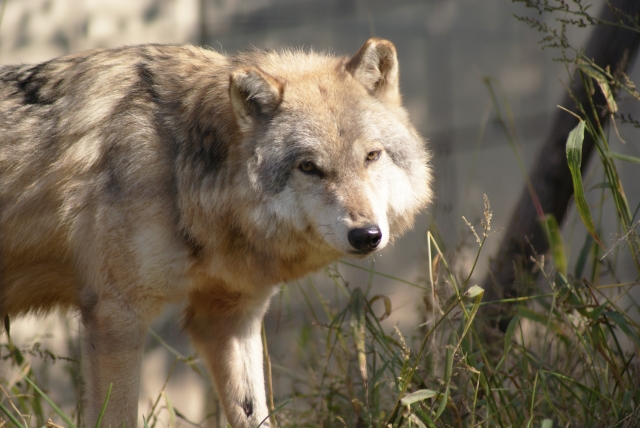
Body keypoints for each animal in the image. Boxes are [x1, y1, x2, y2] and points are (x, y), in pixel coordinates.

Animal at [0, 38, 432, 426]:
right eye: (309, 167)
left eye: (371, 156)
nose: (367, 235)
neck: (177, 164)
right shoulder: (116, 315)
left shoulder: (229, 318)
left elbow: (254, 412)